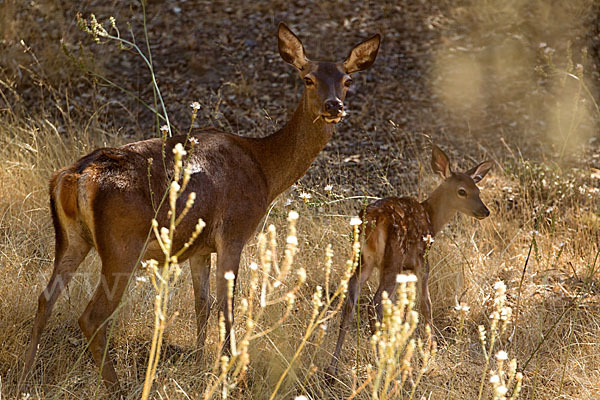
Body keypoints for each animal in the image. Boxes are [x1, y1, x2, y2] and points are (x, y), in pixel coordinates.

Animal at [23, 22, 380, 390]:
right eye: (307, 78)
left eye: (347, 80)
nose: (333, 106)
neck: (265, 170)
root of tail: (74, 176)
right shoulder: (234, 231)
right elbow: (227, 304)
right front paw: (230, 370)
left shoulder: (199, 247)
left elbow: (202, 303)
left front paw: (198, 362)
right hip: (122, 245)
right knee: (92, 316)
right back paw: (116, 386)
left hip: (71, 239)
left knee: (45, 298)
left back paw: (24, 376)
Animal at [328, 145, 492, 376]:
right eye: (462, 191)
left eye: (478, 190)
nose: (485, 211)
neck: (432, 219)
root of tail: (373, 219)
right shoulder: (422, 261)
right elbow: (425, 304)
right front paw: (431, 350)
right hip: (393, 258)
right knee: (374, 303)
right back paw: (381, 360)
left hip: (364, 259)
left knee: (350, 302)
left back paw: (333, 366)